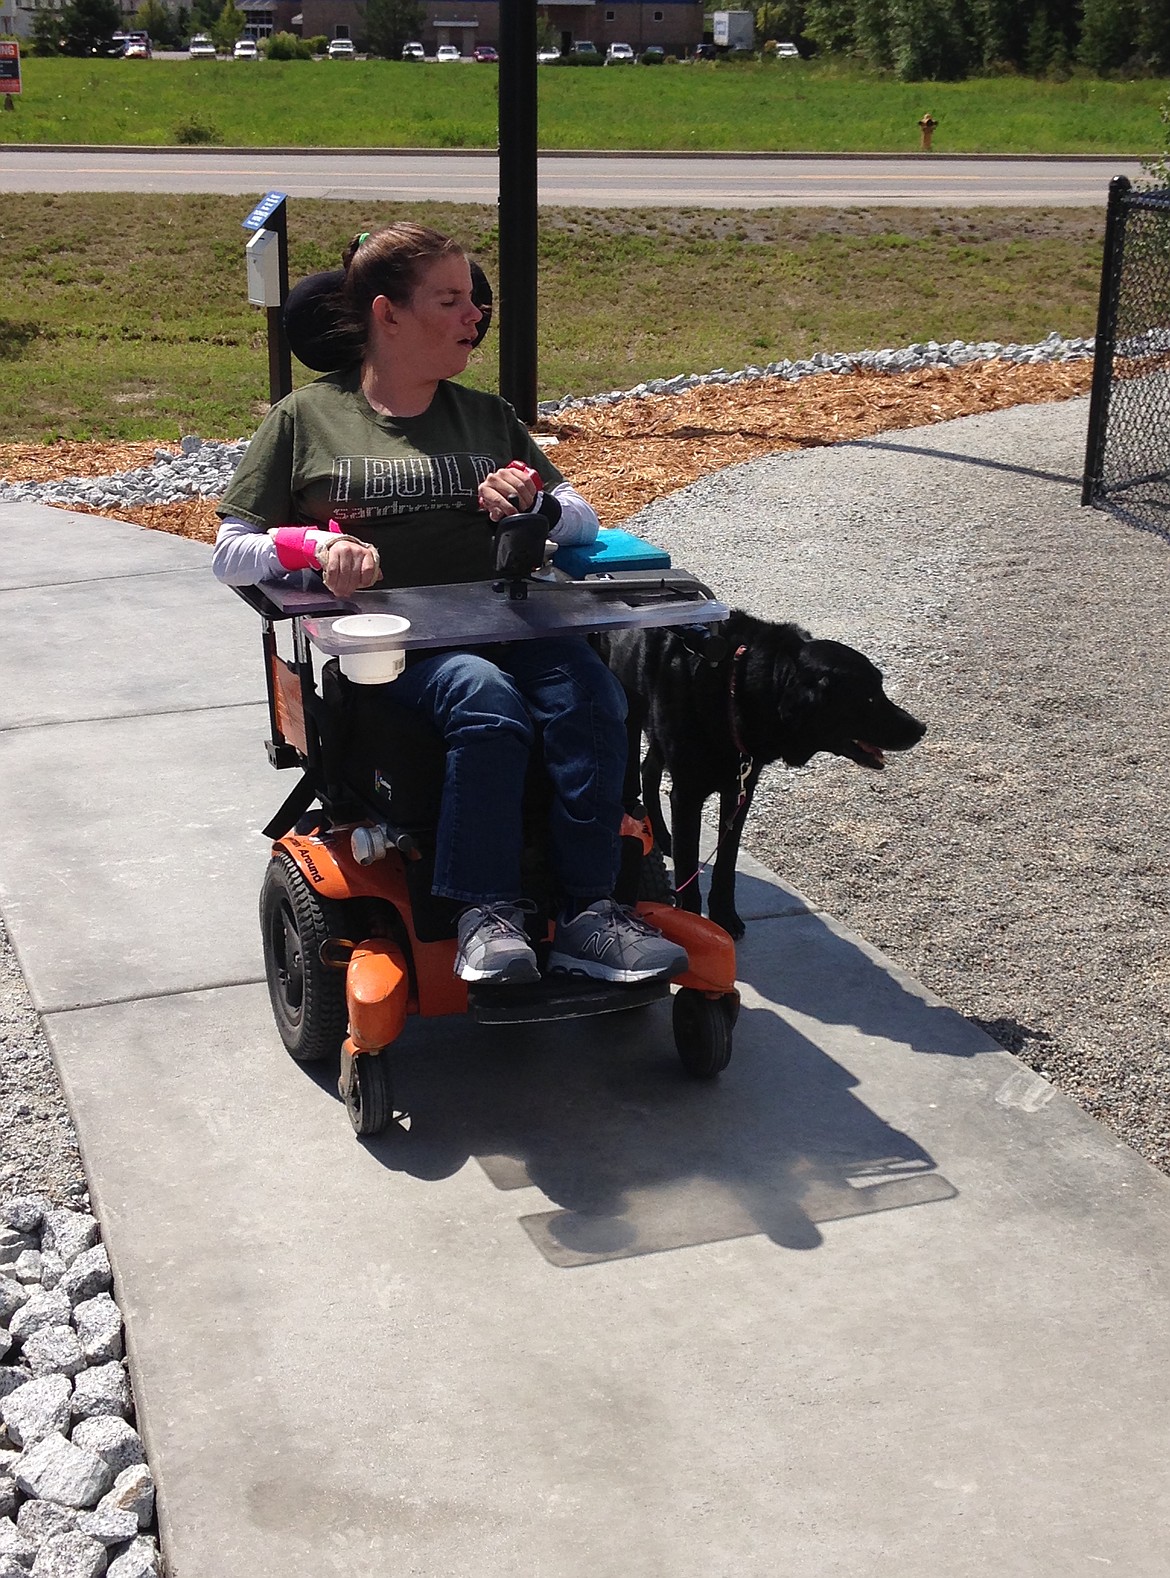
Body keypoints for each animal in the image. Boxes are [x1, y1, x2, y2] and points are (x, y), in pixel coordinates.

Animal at [603, 612, 922, 934]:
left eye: (880, 689)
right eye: (868, 697)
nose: (921, 728)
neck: (737, 687)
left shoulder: (740, 788)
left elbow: (726, 862)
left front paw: (724, 916)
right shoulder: (688, 796)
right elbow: (687, 868)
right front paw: (694, 921)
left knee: (649, 770)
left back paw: (661, 835)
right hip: (630, 712)